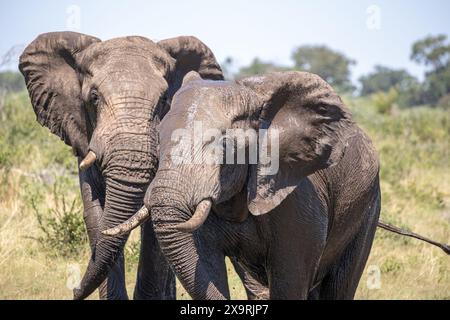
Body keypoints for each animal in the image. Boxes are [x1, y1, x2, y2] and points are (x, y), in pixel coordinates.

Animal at [107, 71, 382, 298]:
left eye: (224, 145)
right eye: (158, 140)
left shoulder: (299, 202)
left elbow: (290, 281)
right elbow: (206, 267)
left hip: (367, 209)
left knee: (340, 285)